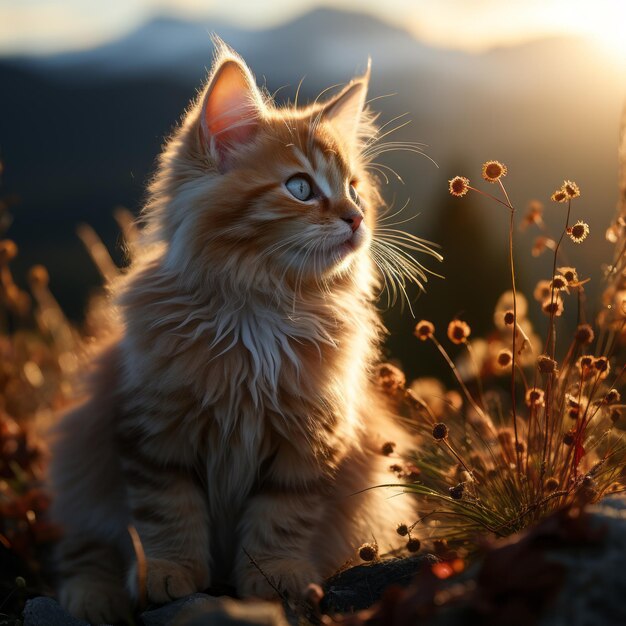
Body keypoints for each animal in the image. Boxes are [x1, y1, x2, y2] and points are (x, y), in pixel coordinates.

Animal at [51, 41, 426, 620]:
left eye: (355, 190)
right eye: (300, 187)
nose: (356, 218)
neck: (257, 314)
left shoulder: (310, 443)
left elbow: (282, 520)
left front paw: (274, 579)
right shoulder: (153, 432)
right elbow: (166, 514)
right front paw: (169, 573)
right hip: (79, 459)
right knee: (83, 551)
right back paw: (94, 598)